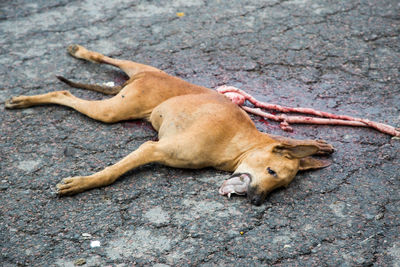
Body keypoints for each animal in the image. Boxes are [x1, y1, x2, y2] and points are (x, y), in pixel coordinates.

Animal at [4, 45, 332, 205]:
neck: (239, 143)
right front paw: (84, 183)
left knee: (102, 61)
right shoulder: (153, 149)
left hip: (139, 75)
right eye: (272, 172)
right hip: (115, 109)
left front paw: (319, 145)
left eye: (281, 187)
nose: (258, 202)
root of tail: (138, 79)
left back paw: (79, 52)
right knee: (64, 94)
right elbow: (111, 173)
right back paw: (25, 100)